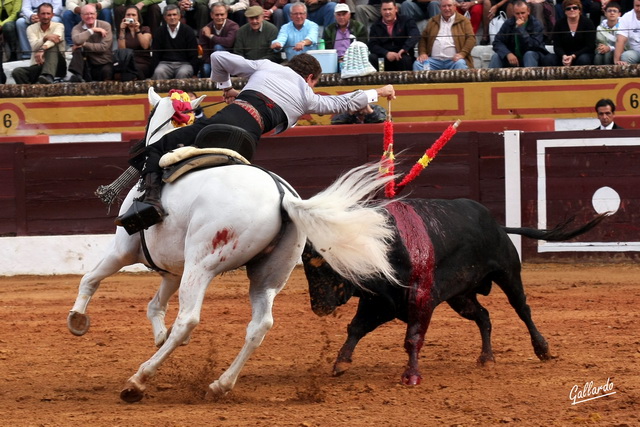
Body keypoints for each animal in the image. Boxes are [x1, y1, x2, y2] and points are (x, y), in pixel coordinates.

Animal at [65, 88, 396, 404]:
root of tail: (282, 197)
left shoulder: (124, 250)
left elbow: (91, 279)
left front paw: (77, 320)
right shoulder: (173, 269)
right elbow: (155, 305)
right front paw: (161, 335)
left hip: (201, 264)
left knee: (188, 319)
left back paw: (138, 381)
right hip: (268, 275)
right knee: (260, 325)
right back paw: (219, 385)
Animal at [302, 199, 608, 386]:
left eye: (327, 267)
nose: (318, 307)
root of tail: (497, 224)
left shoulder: (420, 299)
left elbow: (412, 338)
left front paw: (411, 376)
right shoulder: (378, 301)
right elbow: (356, 328)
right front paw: (341, 363)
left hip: (508, 274)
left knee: (522, 309)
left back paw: (542, 349)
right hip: (461, 297)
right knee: (483, 316)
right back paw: (487, 359)